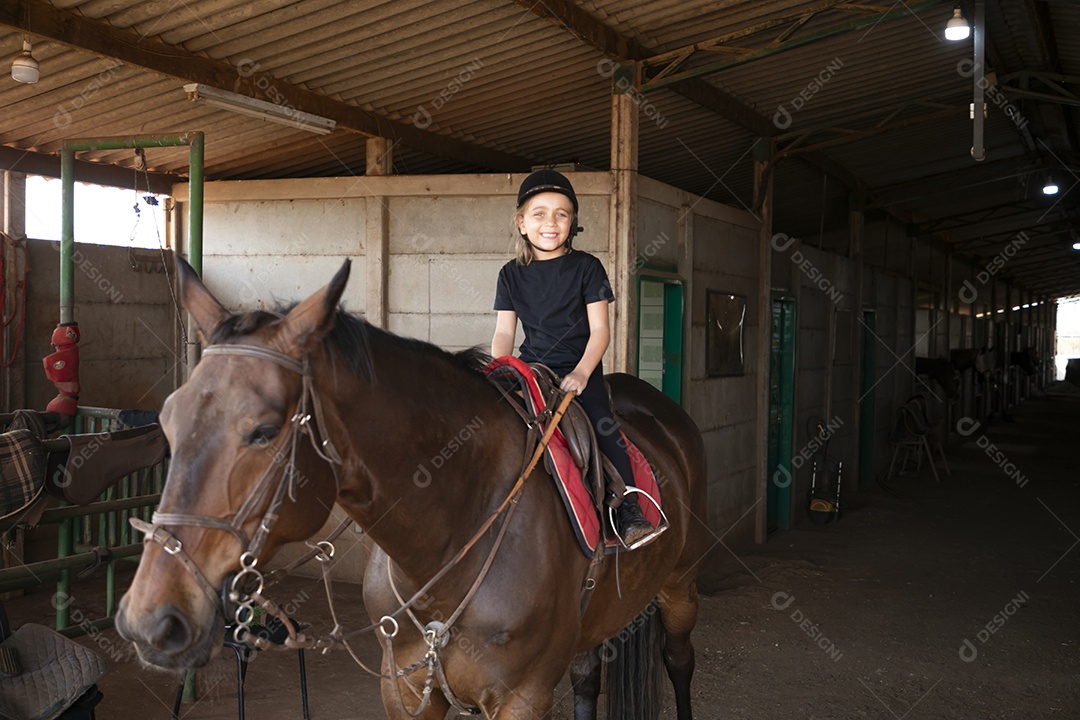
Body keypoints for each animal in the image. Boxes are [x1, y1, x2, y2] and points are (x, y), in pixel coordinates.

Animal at [115, 258, 709, 720]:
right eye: (168, 421)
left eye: (262, 431)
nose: (149, 619)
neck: (451, 543)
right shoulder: (402, 688)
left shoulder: (522, 698)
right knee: (589, 678)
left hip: (680, 583)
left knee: (679, 661)